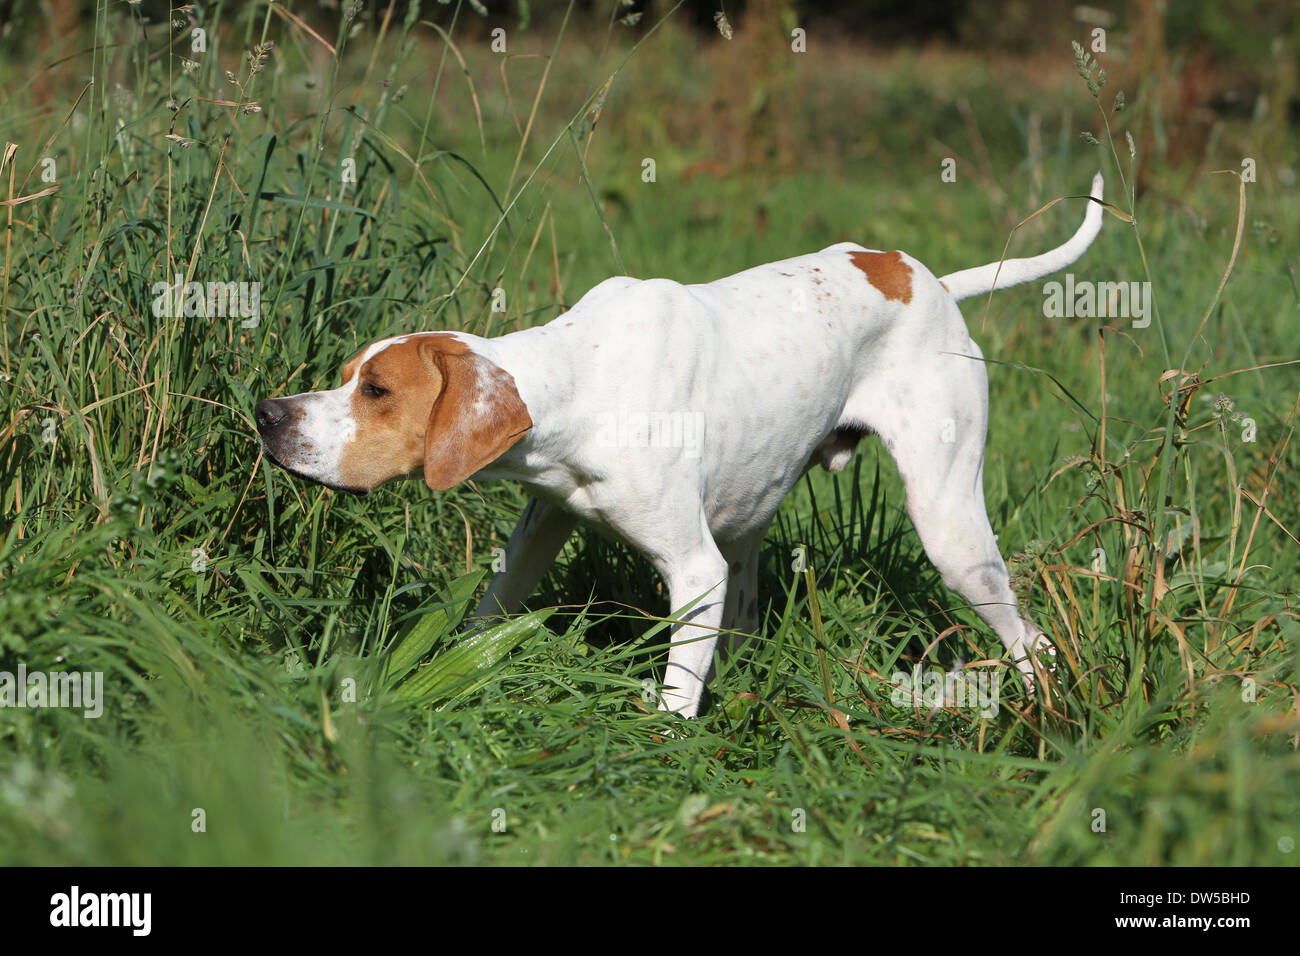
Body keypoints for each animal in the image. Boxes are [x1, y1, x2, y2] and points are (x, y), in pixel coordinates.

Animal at [256, 178, 1107, 717]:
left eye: (377, 392)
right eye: (347, 377)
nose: (267, 413)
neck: (581, 380)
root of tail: (927, 281)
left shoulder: (694, 570)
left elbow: (672, 701)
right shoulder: (540, 528)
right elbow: (486, 615)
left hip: (949, 528)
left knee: (1032, 642)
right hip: (754, 523)